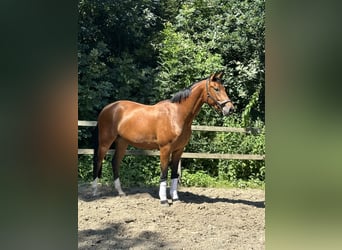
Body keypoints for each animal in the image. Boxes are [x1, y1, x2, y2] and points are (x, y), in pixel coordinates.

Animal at [92, 71, 234, 204]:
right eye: (216, 88)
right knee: (98, 161)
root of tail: (107, 108)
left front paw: (175, 198)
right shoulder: (165, 149)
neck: (177, 115)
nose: (230, 109)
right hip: (105, 142)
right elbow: (164, 172)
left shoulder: (179, 150)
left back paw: (120, 192)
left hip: (122, 142)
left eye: (224, 88)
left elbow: (175, 173)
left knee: (115, 162)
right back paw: (95, 192)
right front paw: (164, 199)